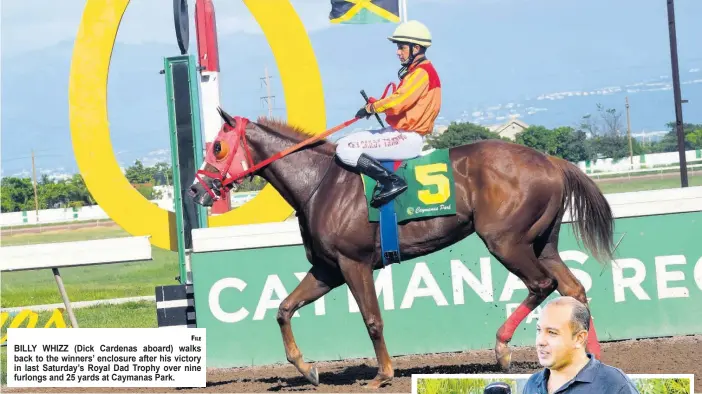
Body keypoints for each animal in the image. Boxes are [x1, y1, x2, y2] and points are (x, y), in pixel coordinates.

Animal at [188, 108, 616, 390]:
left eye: (218, 147)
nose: (195, 190)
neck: (319, 183)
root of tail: (549, 159)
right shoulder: (327, 270)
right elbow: (283, 309)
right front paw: (307, 369)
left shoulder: (353, 263)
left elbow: (372, 320)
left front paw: (384, 373)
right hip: (542, 243)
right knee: (573, 290)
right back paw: (587, 360)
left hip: (506, 241)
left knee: (542, 285)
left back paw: (502, 349)